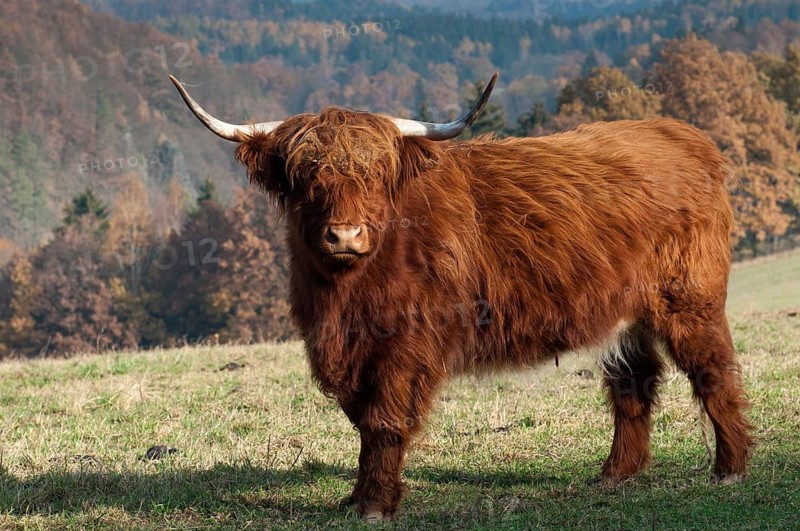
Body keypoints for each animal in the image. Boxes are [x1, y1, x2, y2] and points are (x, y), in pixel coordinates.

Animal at [170, 73, 752, 522]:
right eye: (306, 174)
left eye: (376, 174)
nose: (345, 235)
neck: (346, 297)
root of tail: (681, 134)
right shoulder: (348, 349)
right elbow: (362, 420)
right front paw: (356, 497)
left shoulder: (407, 343)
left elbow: (383, 419)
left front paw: (375, 505)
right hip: (623, 316)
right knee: (634, 384)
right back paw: (615, 475)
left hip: (689, 301)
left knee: (713, 371)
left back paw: (730, 469)